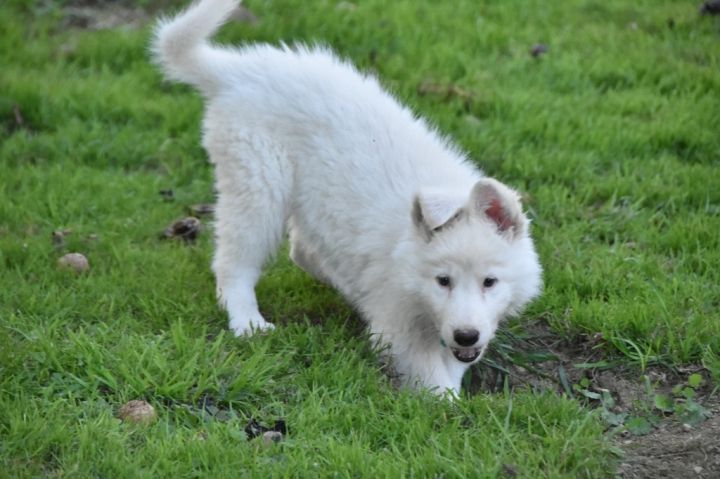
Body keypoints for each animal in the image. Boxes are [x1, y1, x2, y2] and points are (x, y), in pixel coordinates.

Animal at [152, 0, 542, 395]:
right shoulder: (397, 326)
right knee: (235, 262)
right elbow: (433, 379)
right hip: (258, 183)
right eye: (442, 281)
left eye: (490, 282)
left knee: (303, 251)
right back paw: (248, 322)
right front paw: (448, 403)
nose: (466, 335)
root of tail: (240, 70)